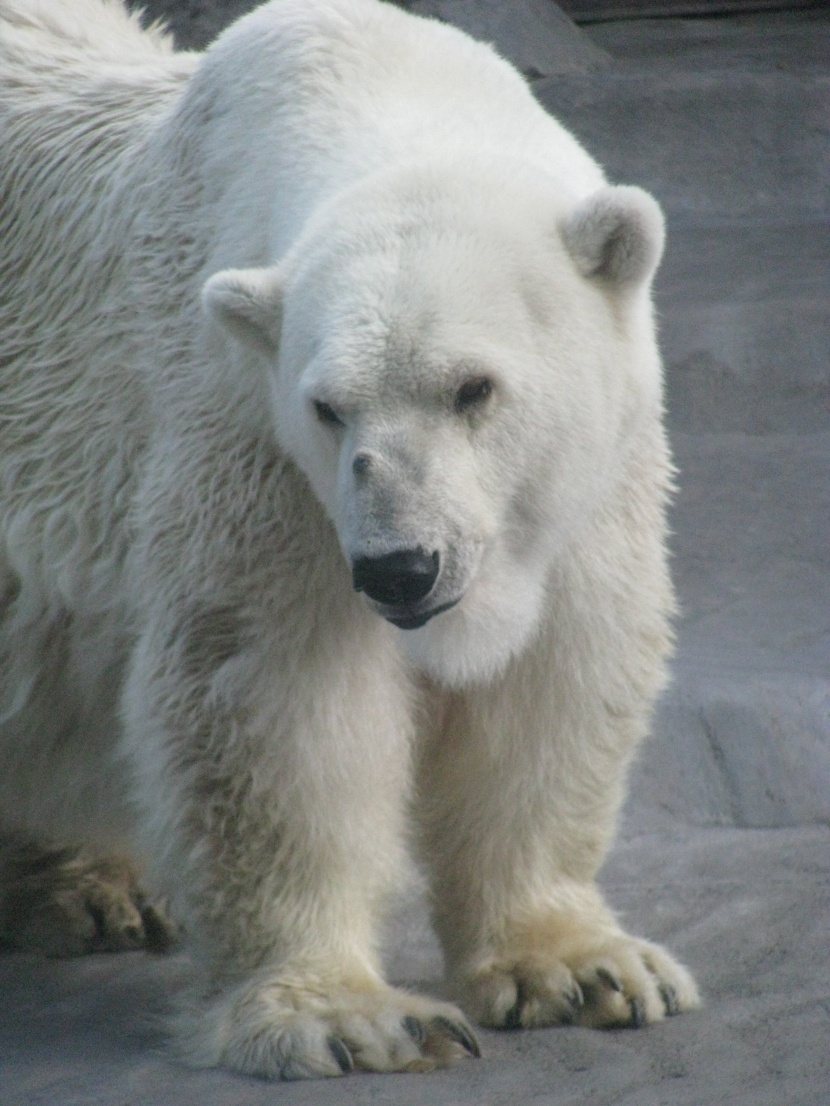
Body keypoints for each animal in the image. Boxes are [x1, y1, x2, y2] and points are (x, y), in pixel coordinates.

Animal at [0, 0, 703, 1079]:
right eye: (327, 407)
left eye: (473, 387)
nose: (400, 569)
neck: (389, 93)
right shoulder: (256, 448)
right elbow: (276, 697)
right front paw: (352, 1015)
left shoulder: (584, 491)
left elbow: (552, 675)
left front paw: (580, 965)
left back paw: (92, 888)